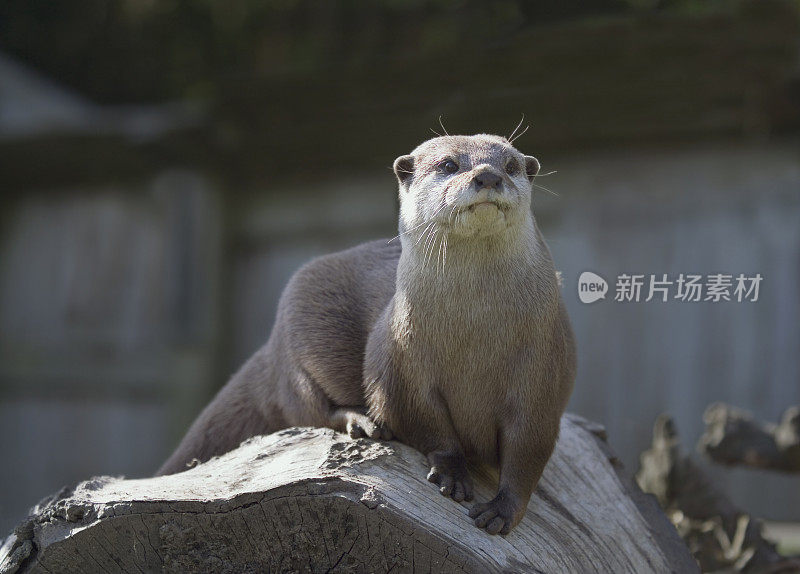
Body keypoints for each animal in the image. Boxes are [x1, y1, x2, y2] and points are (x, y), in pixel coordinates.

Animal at [158, 134, 576, 536]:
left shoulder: (543, 371)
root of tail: (270, 349)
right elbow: (425, 421)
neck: (476, 332)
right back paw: (361, 422)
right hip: (297, 344)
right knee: (307, 409)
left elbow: (529, 448)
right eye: (448, 164)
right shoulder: (402, 364)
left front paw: (503, 508)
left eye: (511, 165)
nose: (488, 176)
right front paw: (452, 471)